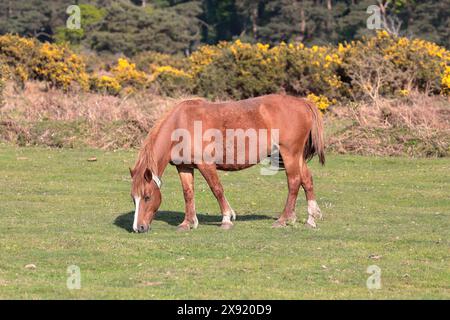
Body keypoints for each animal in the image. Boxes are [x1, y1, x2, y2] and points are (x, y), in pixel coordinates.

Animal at [129, 94, 324, 234]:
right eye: (133, 198)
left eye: (147, 197)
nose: (139, 228)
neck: (181, 124)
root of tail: (303, 103)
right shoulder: (184, 166)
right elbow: (188, 193)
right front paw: (188, 222)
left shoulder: (206, 165)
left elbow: (217, 190)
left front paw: (226, 219)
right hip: (295, 156)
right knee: (306, 180)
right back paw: (310, 219)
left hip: (289, 154)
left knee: (294, 182)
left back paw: (283, 219)